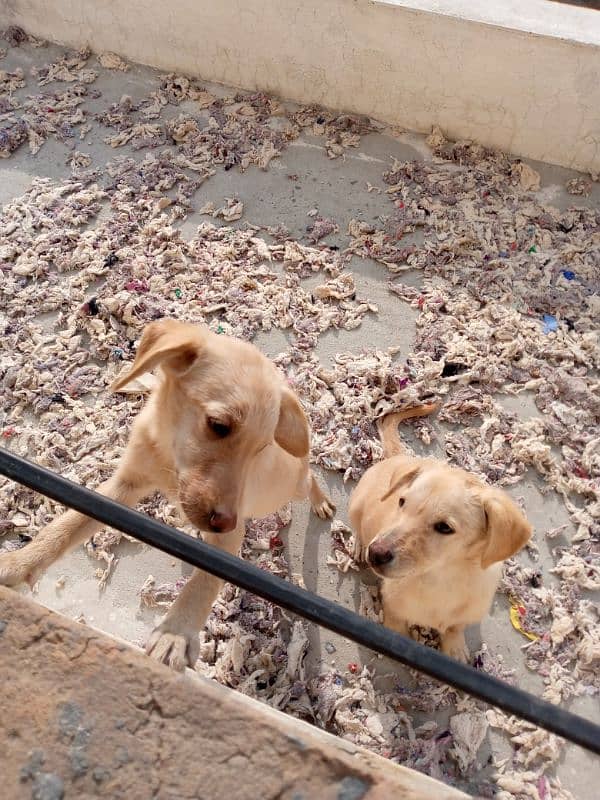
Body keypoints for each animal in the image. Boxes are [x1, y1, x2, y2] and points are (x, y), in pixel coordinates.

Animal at [0, 318, 332, 668]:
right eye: (218, 424)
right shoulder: (123, 487)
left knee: (310, 479)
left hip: (291, 486)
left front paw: (176, 633)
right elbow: (67, 524)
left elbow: (206, 579)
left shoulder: (230, 535)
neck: (169, 460)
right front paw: (20, 561)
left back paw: (322, 503)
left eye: (261, 448)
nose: (224, 521)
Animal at [350, 406, 532, 664]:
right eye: (402, 501)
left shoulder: (466, 613)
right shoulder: (393, 603)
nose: (375, 554)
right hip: (355, 506)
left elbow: (454, 627)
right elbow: (396, 624)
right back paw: (358, 545)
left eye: (445, 527)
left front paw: (454, 647)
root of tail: (398, 457)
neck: (441, 580)